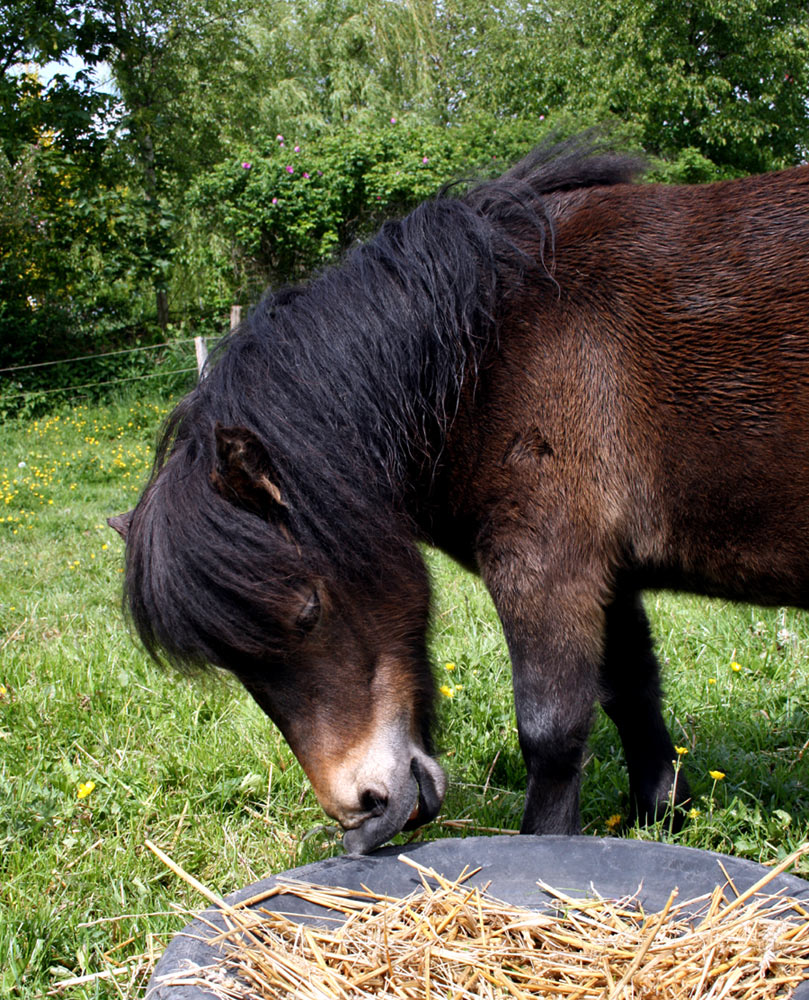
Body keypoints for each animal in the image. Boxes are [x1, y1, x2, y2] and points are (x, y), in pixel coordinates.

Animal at [110, 133, 808, 852]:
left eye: (308, 612)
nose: (363, 814)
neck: (484, 351)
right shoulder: (607, 574)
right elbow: (631, 691)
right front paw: (661, 816)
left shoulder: (545, 564)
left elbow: (552, 729)